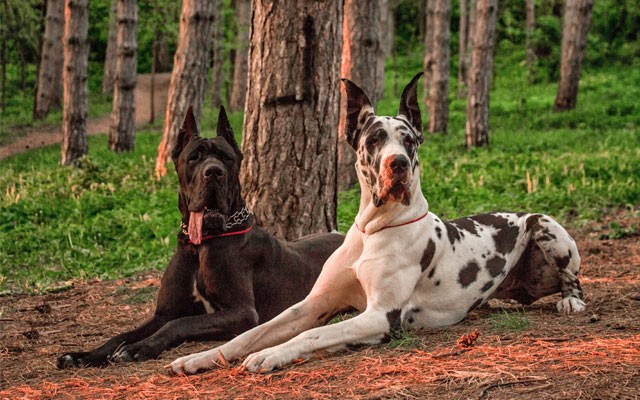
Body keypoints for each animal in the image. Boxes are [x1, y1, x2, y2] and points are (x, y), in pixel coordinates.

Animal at [57, 107, 342, 368]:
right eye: (194, 157)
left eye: (226, 158)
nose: (213, 171)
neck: (200, 245)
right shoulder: (163, 312)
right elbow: (123, 334)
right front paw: (84, 355)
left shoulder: (242, 312)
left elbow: (180, 323)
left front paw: (139, 348)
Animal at [169, 72, 584, 376]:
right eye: (374, 139)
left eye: (409, 140)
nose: (396, 163)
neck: (373, 230)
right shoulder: (313, 303)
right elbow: (252, 333)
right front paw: (199, 357)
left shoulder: (380, 316)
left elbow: (316, 334)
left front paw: (272, 354)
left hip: (547, 227)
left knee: (573, 279)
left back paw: (571, 302)